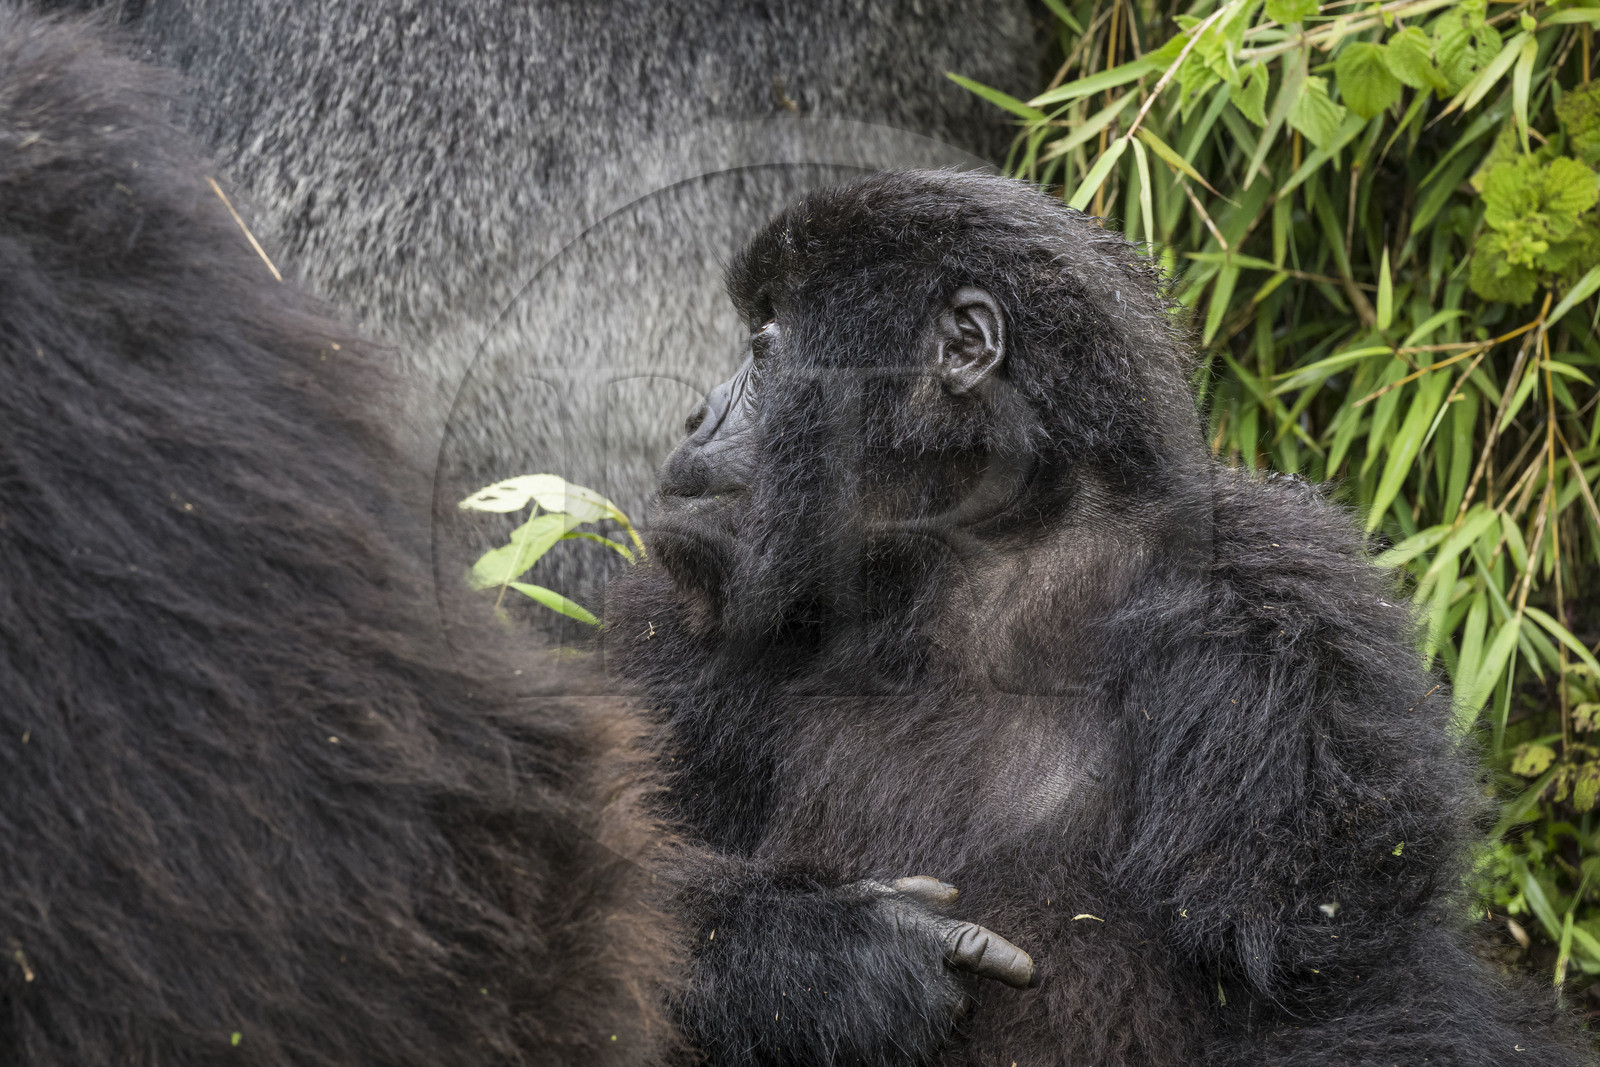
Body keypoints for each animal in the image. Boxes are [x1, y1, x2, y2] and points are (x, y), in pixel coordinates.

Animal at [602, 169, 1595, 1065]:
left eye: (765, 346)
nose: (693, 415)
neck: (976, 555)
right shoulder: (684, 613)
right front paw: (829, 957)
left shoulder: (1285, 611)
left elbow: (1334, 991)